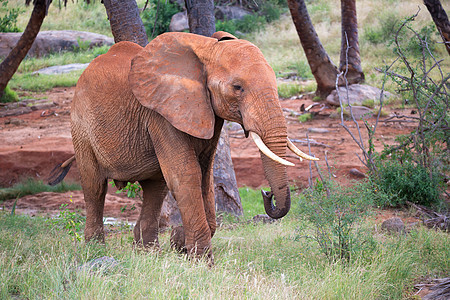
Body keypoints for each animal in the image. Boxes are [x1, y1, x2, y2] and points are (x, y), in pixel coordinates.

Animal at [49, 31, 316, 260]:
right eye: (237, 88)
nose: (266, 194)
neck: (208, 48)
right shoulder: (161, 112)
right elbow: (186, 175)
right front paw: (202, 262)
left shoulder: (206, 112)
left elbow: (205, 176)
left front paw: (180, 243)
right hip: (81, 126)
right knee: (95, 186)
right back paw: (96, 251)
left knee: (155, 188)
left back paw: (148, 253)